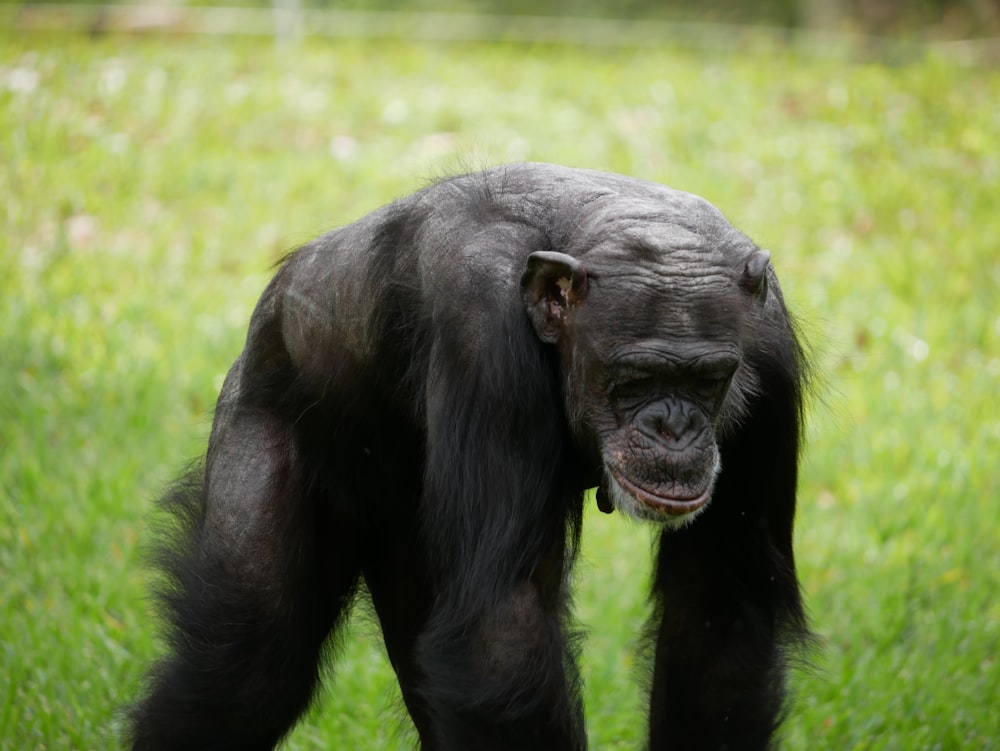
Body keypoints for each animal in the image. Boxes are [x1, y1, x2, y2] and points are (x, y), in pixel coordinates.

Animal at [127, 164, 812, 751]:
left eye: (707, 380)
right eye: (636, 379)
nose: (675, 426)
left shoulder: (770, 357)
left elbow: (718, 610)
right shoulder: (483, 334)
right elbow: (498, 633)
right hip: (269, 411)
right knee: (245, 668)